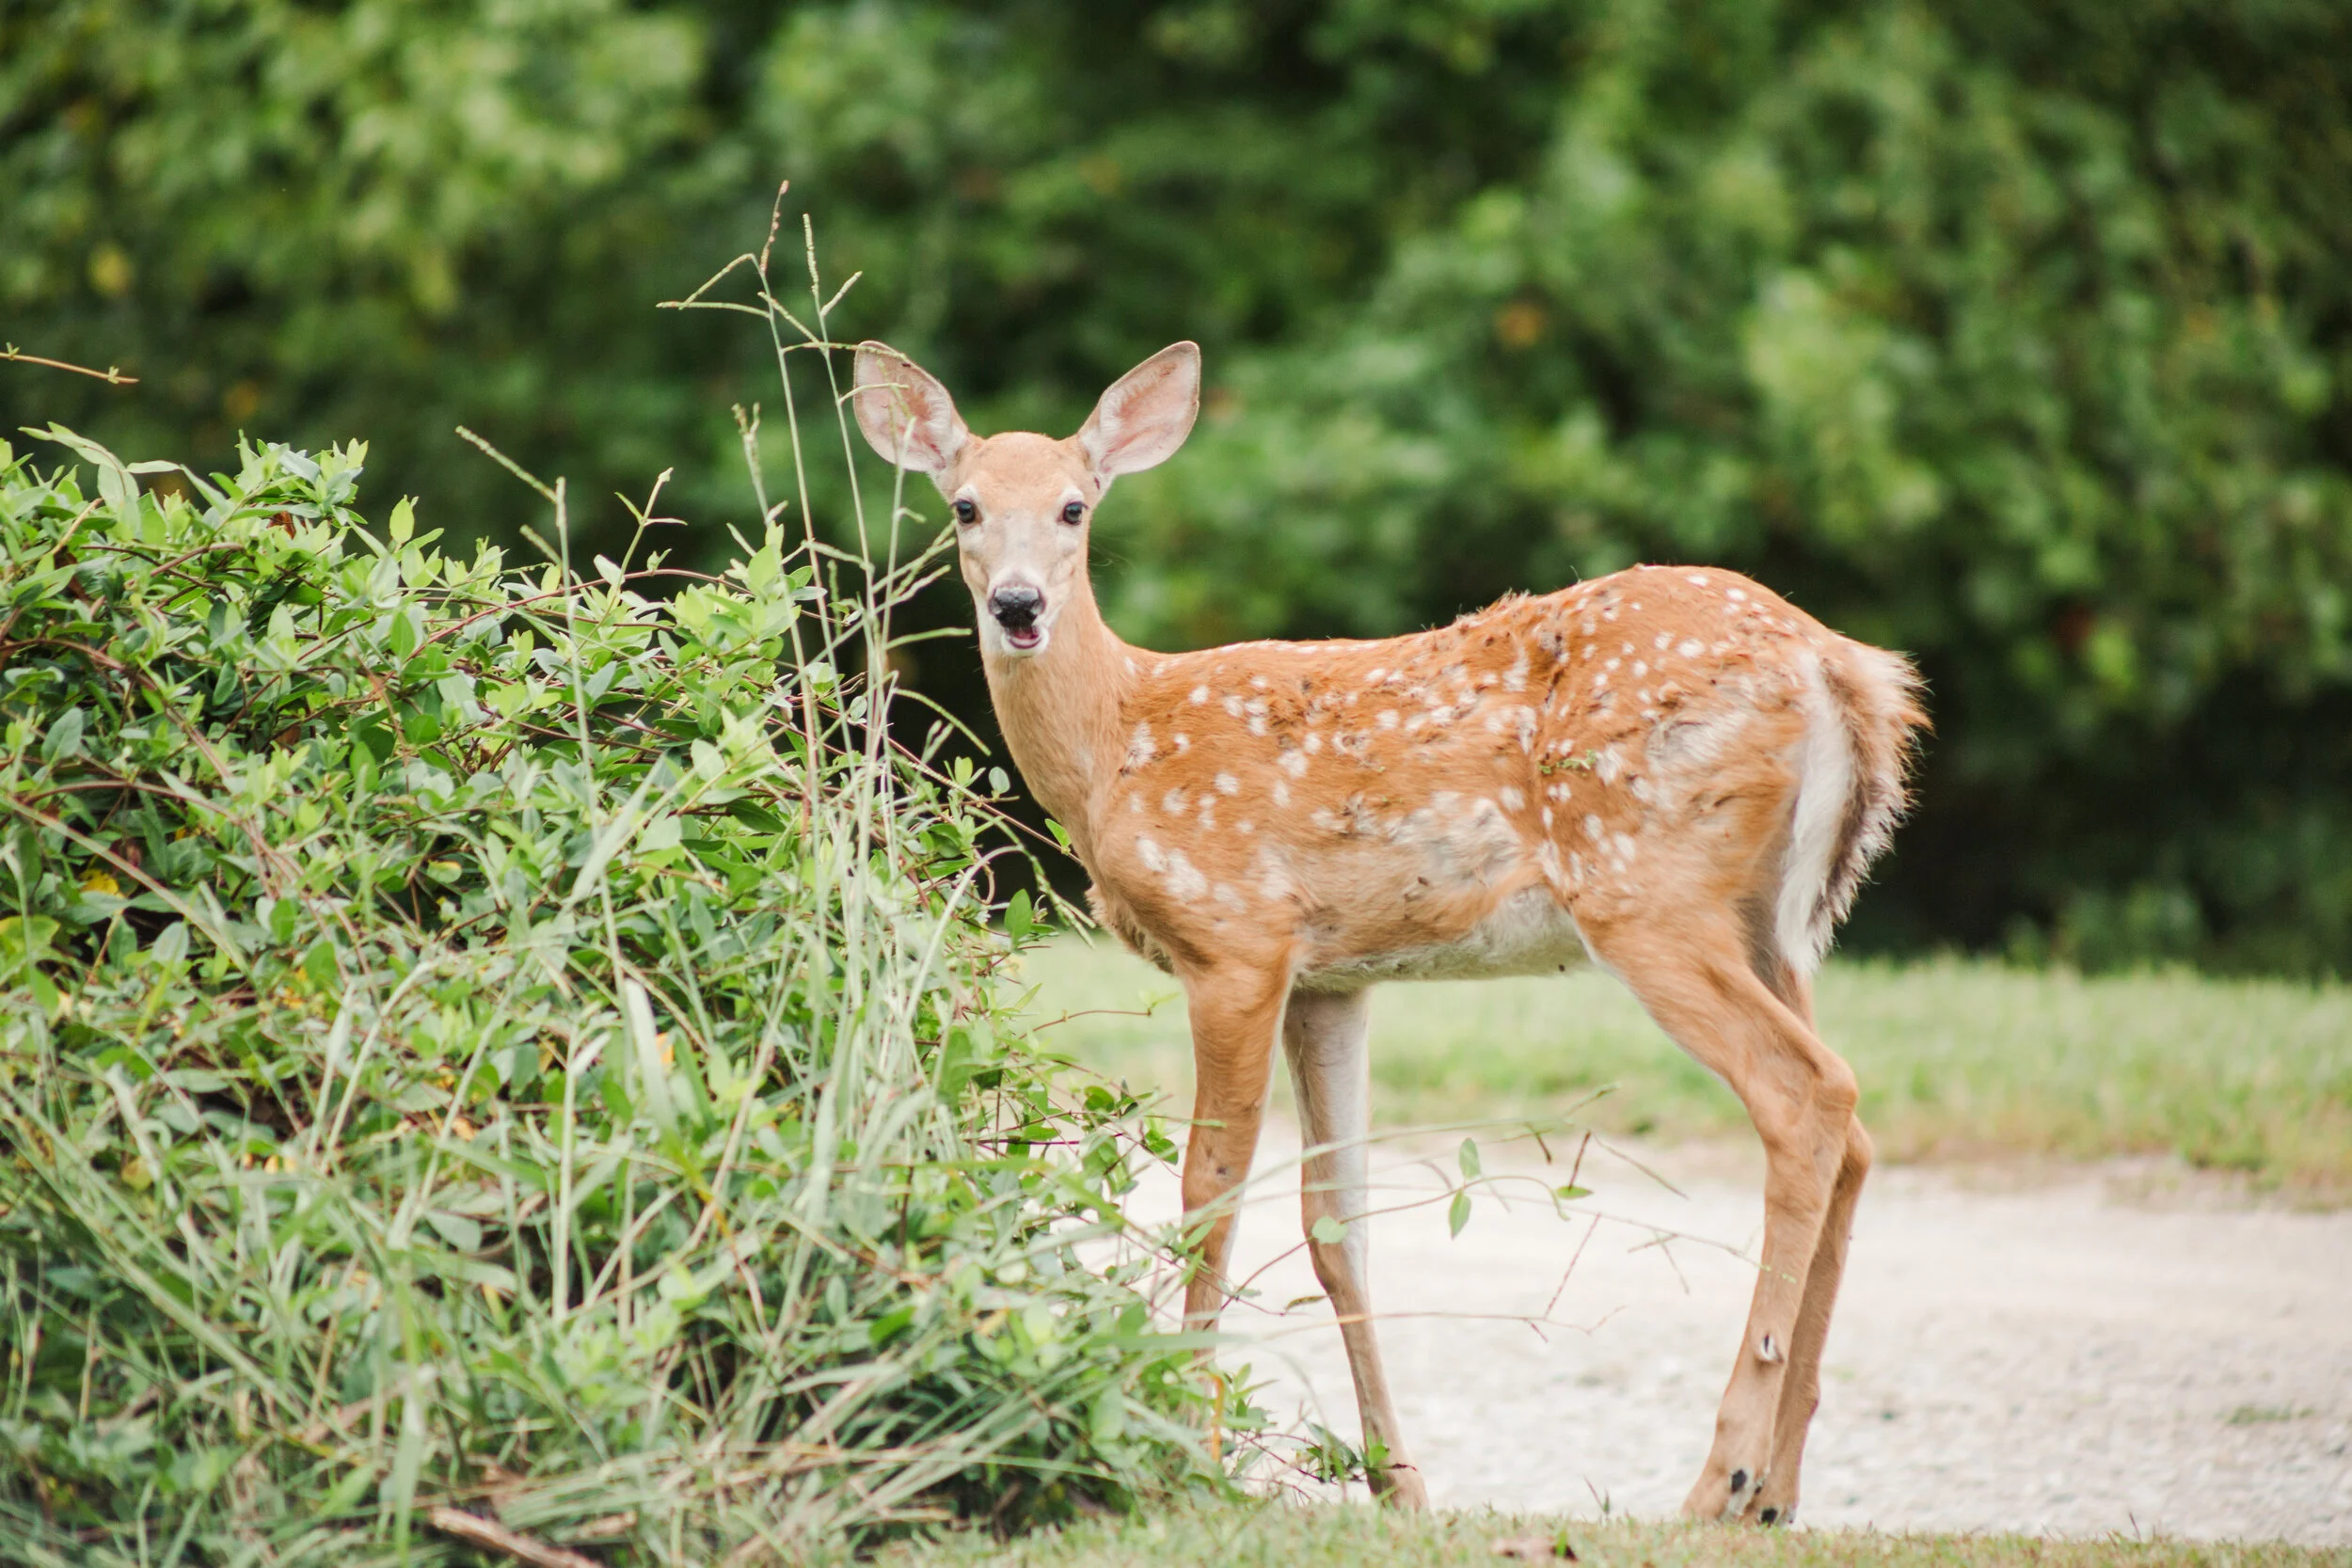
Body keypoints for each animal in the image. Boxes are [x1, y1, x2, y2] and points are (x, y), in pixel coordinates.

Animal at [852, 338, 1926, 1522]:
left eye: (1074, 507)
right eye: (963, 505)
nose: (1017, 603)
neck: (1116, 743)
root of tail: (1840, 669)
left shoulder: (1235, 939)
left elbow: (1209, 1195)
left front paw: (1191, 1452)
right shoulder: (1331, 976)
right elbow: (1338, 1224)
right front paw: (1395, 1482)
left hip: (1644, 886)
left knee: (1805, 1092)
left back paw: (1716, 1480)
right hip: (1776, 920)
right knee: (1853, 1126)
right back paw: (1775, 1489)